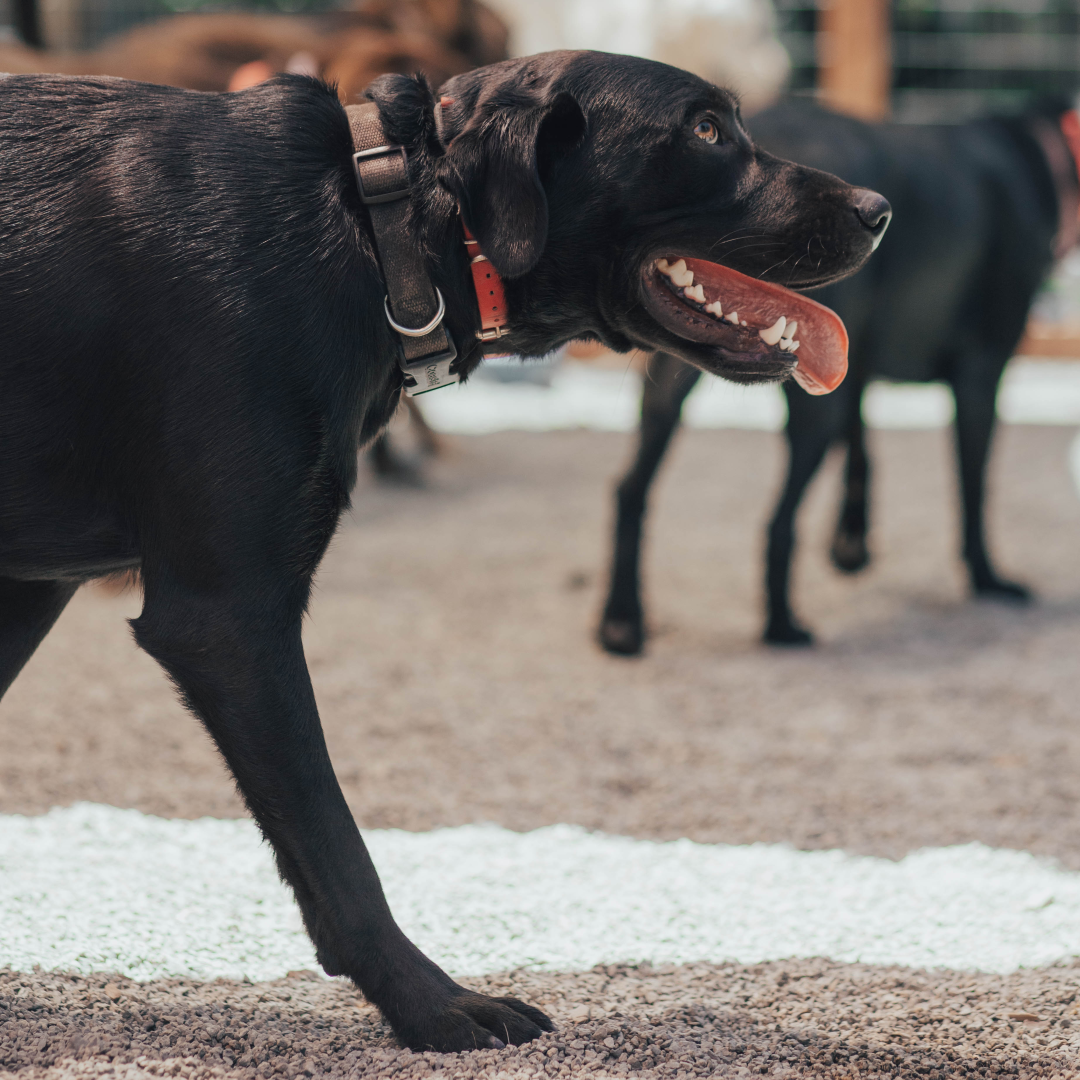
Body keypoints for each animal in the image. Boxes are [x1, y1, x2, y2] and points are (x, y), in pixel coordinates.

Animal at [0, 54, 885, 1049]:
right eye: (704, 130)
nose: (880, 208)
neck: (374, 223)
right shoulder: (226, 618)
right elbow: (338, 848)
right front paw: (433, 1004)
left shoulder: (29, 588)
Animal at [600, 97, 1071, 652]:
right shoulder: (982, 370)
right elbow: (974, 483)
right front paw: (986, 578)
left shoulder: (852, 368)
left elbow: (863, 451)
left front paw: (851, 545)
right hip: (809, 406)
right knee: (778, 522)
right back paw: (782, 625)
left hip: (673, 378)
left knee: (630, 489)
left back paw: (621, 621)